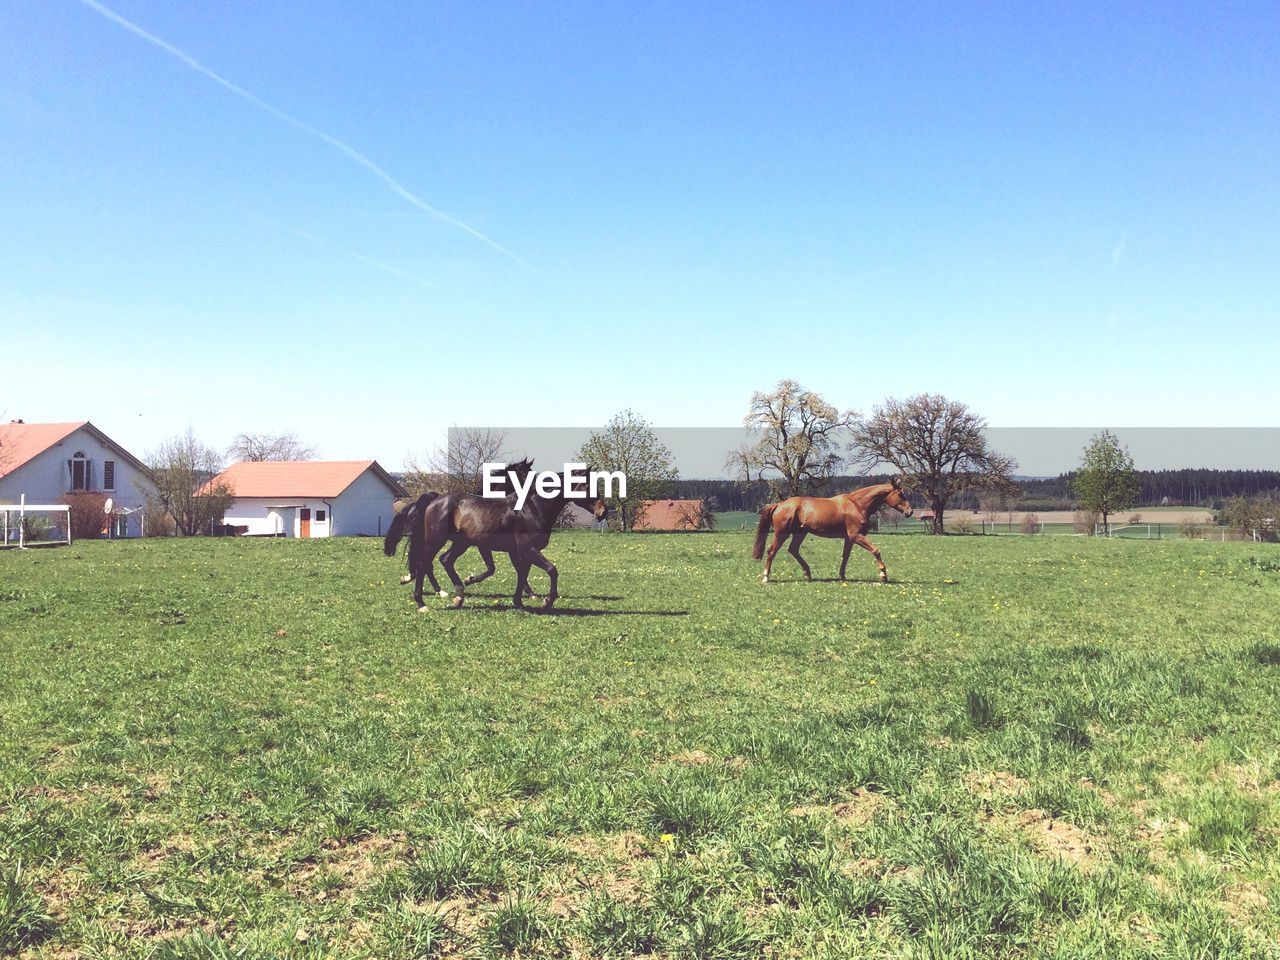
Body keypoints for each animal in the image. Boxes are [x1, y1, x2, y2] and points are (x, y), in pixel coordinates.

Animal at [752, 481, 916, 586]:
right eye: (900, 494)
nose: (910, 512)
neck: (856, 504)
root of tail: (779, 504)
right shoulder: (856, 536)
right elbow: (875, 550)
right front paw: (883, 576)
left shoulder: (849, 538)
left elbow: (845, 556)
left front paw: (842, 576)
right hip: (782, 534)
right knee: (771, 552)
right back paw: (766, 577)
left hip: (800, 533)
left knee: (793, 550)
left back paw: (808, 574)